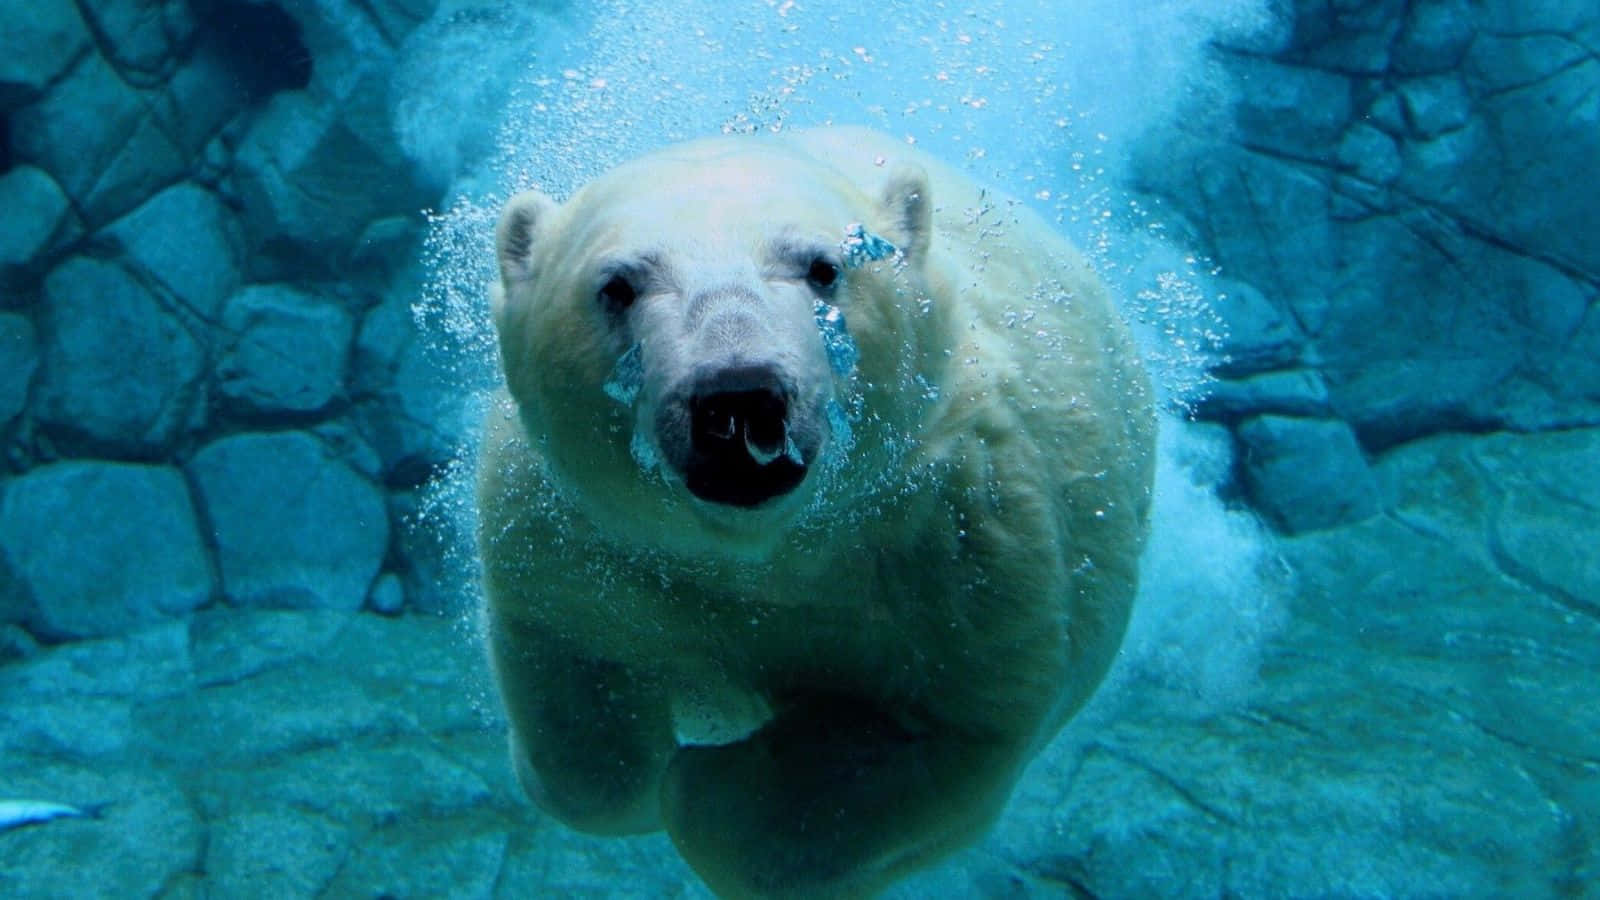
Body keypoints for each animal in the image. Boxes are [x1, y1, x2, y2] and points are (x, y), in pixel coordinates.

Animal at [478, 125, 1155, 899]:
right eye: (617, 285)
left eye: (825, 268)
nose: (738, 396)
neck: (770, 551)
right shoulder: (578, 536)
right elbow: (572, 681)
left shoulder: (966, 547)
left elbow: (938, 735)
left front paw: (711, 781)